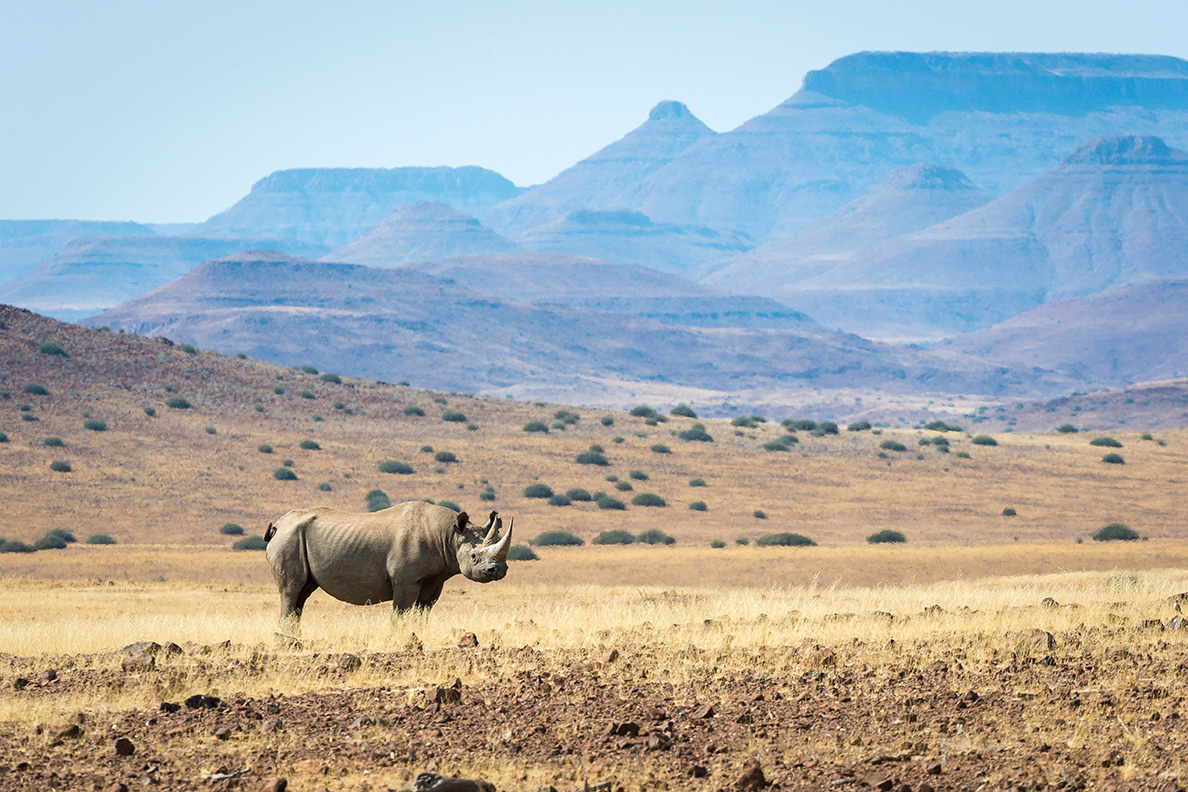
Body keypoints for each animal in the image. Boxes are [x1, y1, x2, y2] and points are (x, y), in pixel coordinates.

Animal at [263, 501, 512, 628]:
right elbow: (400, 614)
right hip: (289, 538)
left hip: (294, 538)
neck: (449, 535)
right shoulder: (404, 579)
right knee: (292, 590)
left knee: (302, 594)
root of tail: (278, 525)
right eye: (474, 557)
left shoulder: (435, 579)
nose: (498, 571)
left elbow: (422, 615)